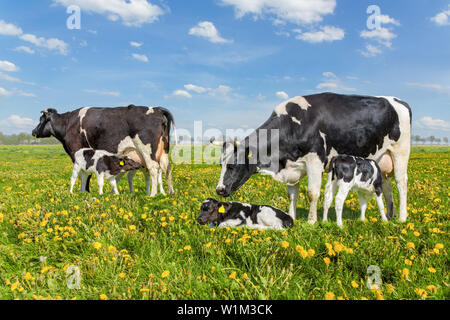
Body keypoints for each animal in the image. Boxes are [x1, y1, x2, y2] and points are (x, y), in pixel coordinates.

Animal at [30, 105, 176, 196]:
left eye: (41, 120)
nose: (33, 131)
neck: (68, 124)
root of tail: (157, 109)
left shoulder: (77, 152)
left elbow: (83, 174)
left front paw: (84, 191)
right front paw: (86, 191)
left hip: (147, 150)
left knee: (153, 169)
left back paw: (153, 194)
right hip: (163, 150)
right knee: (166, 168)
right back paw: (169, 192)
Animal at [214, 91, 412, 224]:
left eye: (233, 165)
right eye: (221, 164)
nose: (220, 190)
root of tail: (398, 101)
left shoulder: (315, 160)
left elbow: (312, 193)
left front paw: (311, 221)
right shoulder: (291, 166)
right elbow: (291, 195)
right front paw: (292, 216)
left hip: (400, 151)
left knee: (401, 183)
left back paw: (402, 218)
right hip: (382, 159)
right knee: (386, 185)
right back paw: (389, 216)